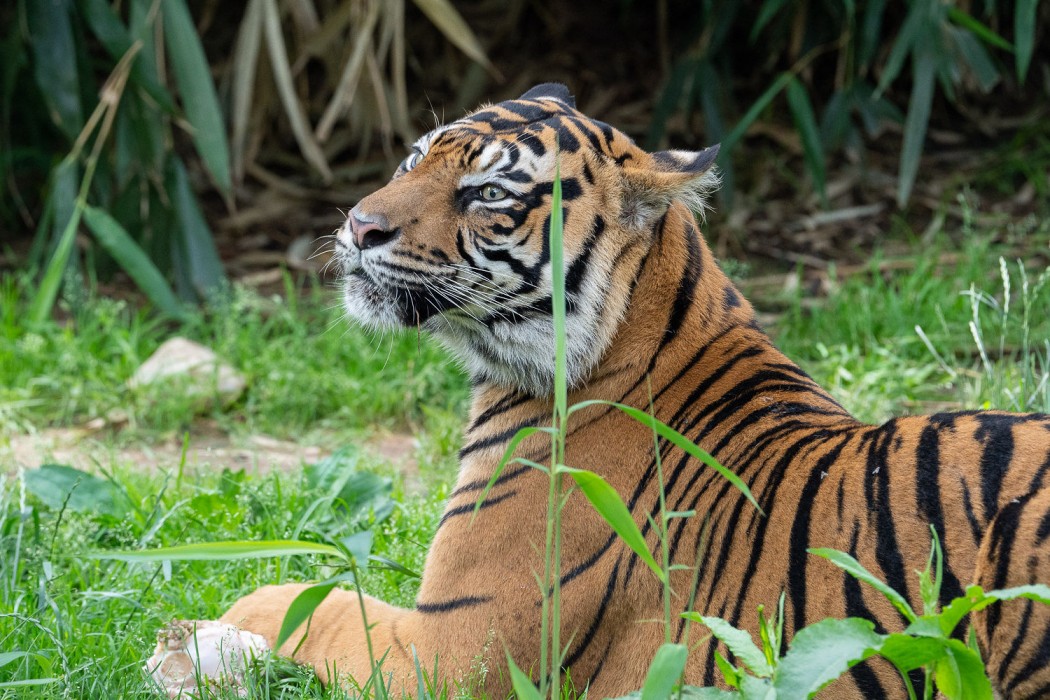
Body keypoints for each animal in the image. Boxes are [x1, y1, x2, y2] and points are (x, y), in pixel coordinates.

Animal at [219, 85, 1050, 696]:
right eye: (413, 158)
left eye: (487, 192)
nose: (359, 227)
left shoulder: (447, 651)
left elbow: (307, 603)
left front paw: (228, 619)